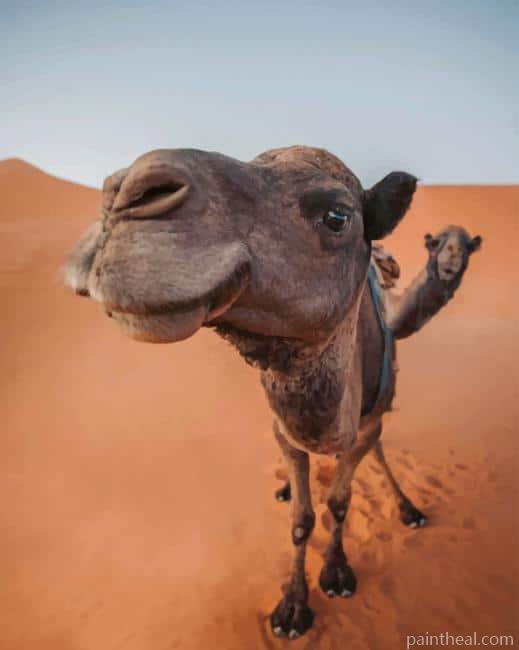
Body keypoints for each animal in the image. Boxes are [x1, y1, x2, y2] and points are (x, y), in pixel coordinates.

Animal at [64, 146, 481, 639]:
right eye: (437, 246)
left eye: (337, 216)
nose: (123, 193)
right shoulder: (287, 430)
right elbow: (301, 520)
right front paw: (292, 607)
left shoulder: (365, 423)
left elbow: (340, 501)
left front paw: (337, 572)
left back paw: (408, 508)